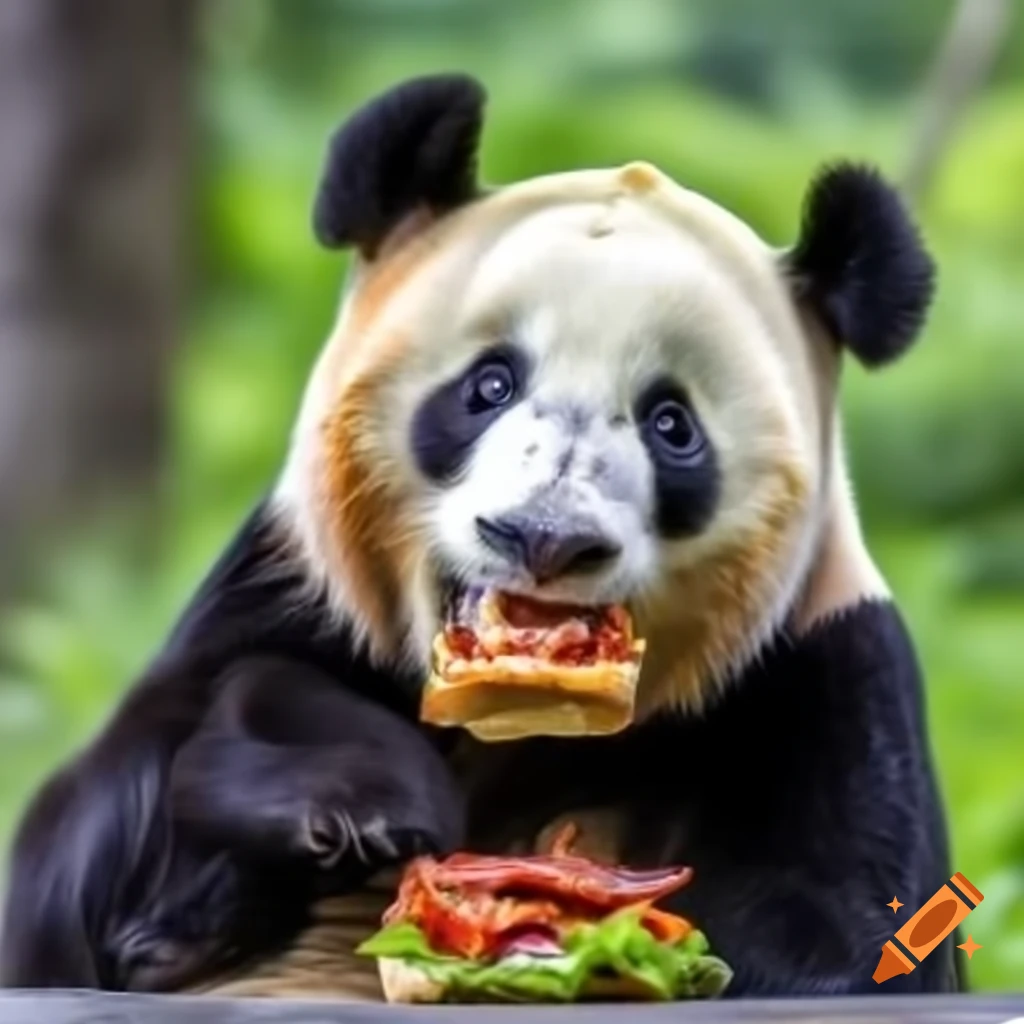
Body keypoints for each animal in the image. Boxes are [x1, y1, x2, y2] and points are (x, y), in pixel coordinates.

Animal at [0, 73, 959, 1000]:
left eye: (672, 425)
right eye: (490, 384)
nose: (544, 538)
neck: (520, 725)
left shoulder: (822, 671)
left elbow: (841, 934)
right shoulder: (284, 592)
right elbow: (85, 871)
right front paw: (354, 795)